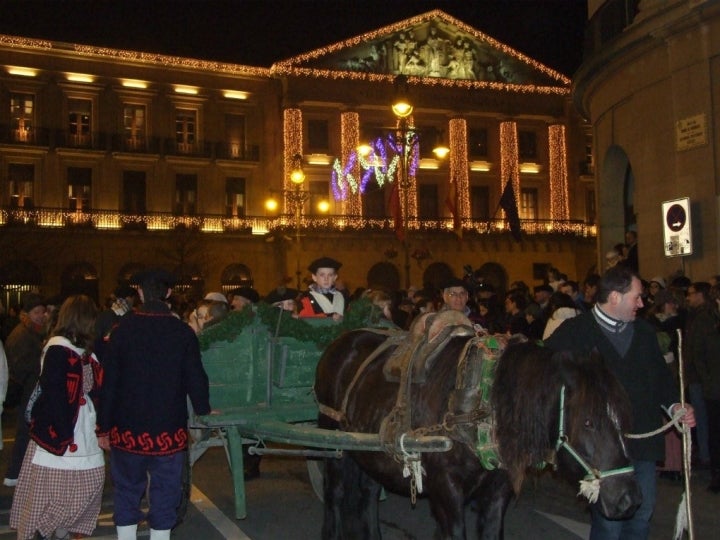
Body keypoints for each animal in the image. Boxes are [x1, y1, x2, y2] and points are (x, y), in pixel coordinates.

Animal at [316, 312, 640, 540]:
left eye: (624, 419)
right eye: (588, 421)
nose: (629, 500)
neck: (480, 404)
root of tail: (341, 342)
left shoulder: (497, 492)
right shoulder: (446, 490)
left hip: (371, 453)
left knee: (368, 496)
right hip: (333, 443)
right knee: (335, 497)